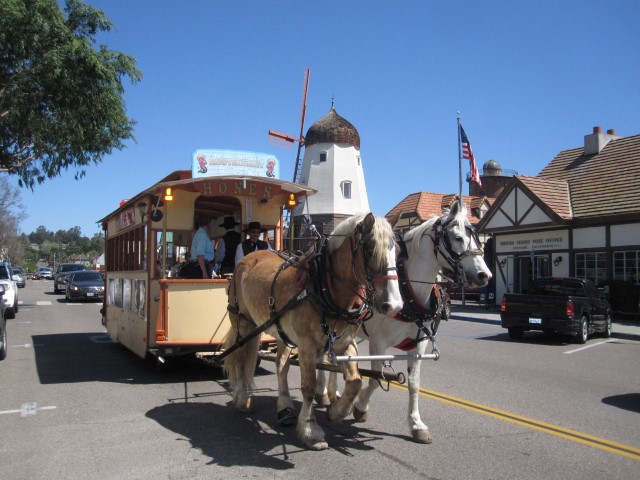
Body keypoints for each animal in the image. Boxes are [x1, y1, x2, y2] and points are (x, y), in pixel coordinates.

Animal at [224, 214, 400, 450]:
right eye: (370, 249)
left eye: (396, 250)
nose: (394, 305)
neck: (323, 286)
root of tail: (247, 259)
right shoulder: (306, 345)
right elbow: (308, 387)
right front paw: (310, 431)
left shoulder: (344, 343)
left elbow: (355, 381)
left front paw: (335, 412)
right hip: (243, 323)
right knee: (240, 359)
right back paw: (242, 398)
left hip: (281, 331)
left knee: (281, 364)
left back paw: (285, 407)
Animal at [318, 201, 492, 444]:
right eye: (457, 237)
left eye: (476, 237)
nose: (485, 275)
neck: (408, 290)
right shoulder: (378, 344)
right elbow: (375, 379)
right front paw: (360, 407)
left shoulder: (418, 345)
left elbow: (414, 383)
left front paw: (416, 424)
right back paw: (324, 393)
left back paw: (334, 393)